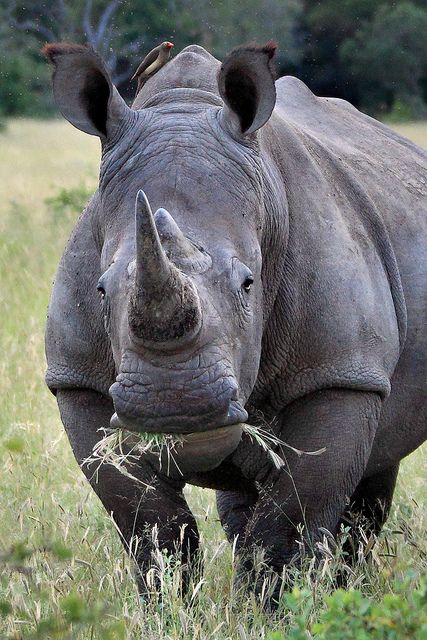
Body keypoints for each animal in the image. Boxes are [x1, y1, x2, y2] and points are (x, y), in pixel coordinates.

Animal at [44, 41, 427, 597]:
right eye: (100, 290)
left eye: (249, 284)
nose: (175, 407)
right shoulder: (78, 380)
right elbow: (151, 528)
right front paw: (172, 606)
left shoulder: (341, 371)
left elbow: (289, 527)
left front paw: (277, 606)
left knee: (368, 484)